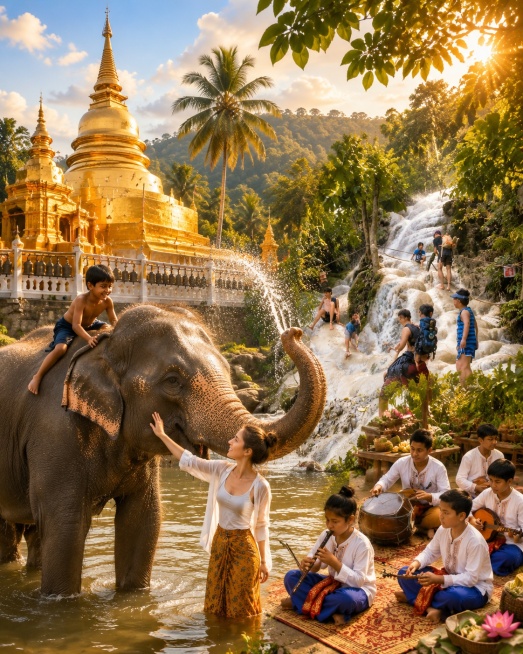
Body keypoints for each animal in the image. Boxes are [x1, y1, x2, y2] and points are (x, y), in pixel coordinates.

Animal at [0, 304, 326, 595]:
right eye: (172, 380)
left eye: (226, 370)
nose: (294, 332)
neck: (105, 345)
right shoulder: (55, 431)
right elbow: (65, 525)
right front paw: (61, 603)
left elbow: (143, 520)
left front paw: (133, 596)